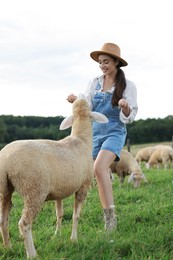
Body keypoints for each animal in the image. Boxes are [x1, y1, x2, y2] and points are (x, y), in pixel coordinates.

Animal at [0, 94, 108, 258]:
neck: (81, 139)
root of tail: (6, 160)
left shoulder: (59, 192)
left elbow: (60, 214)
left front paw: (57, 234)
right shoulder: (83, 186)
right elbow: (76, 215)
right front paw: (73, 239)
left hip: (5, 189)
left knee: (3, 221)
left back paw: (8, 248)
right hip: (34, 189)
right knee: (24, 223)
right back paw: (32, 254)